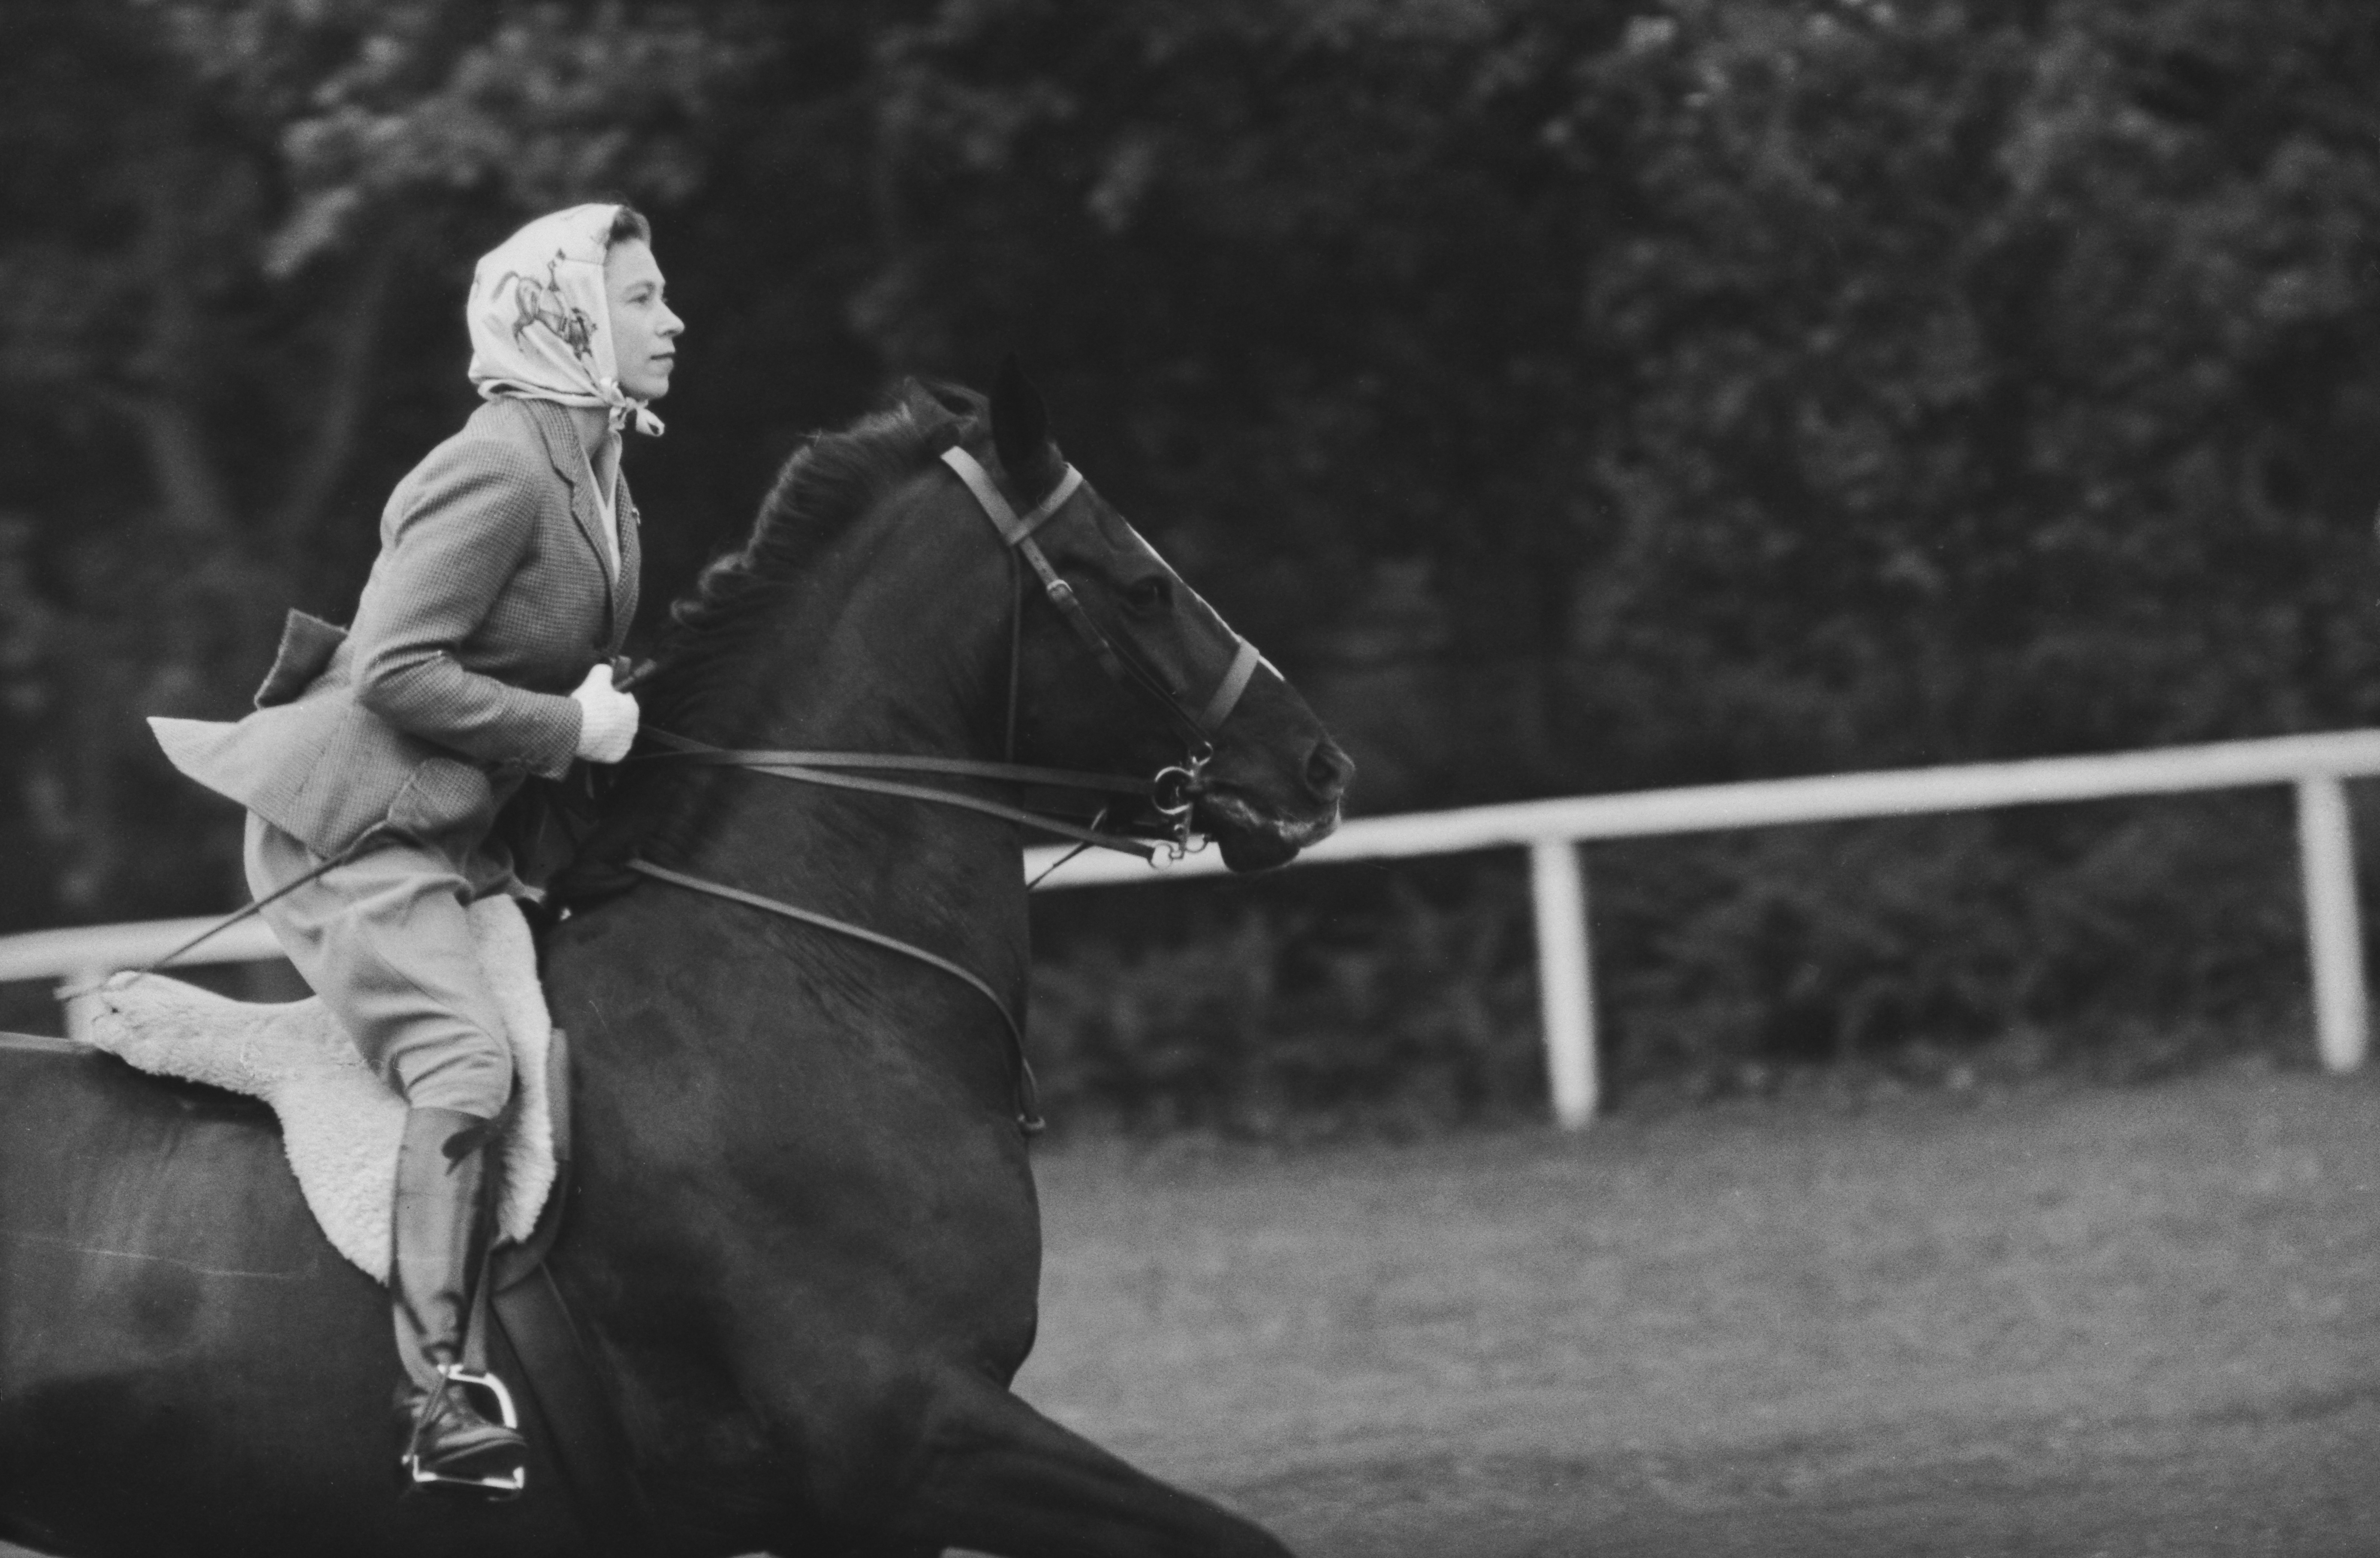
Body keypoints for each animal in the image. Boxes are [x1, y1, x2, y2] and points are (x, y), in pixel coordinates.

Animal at [0, 364, 1353, 1557]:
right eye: (1141, 586)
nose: (1316, 764)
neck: (803, 979)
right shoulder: (912, 1435)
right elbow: (1236, 1538)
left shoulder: (859, 1507)